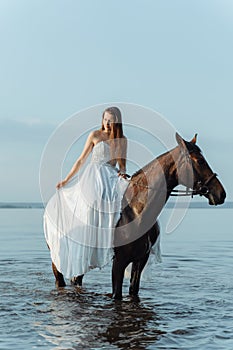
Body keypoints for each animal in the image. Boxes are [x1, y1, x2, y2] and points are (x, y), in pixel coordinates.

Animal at [51, 133, 226, 298]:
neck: (136, 211)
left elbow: (133, 290)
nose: (221, 194)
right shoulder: (119, 262)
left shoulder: (140, 260)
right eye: (200, 161)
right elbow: (117, 294)